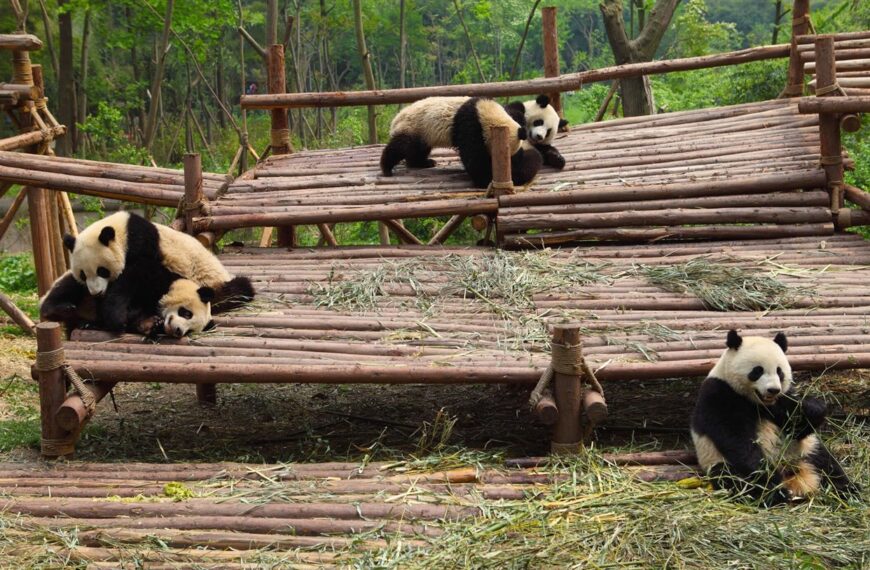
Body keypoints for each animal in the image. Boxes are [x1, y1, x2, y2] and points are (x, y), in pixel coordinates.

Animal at [57, 211, 254, 335]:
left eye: (102, 271)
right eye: (83, 275)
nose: (96, 293)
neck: (122, 231)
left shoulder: (142, 245)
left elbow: (132, 277)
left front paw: (115, 317)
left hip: (212, 283)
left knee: (240, 289)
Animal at [380, 96, 542, 188]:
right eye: (512, 153)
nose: (518, 158)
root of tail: (395, 120)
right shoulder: (470, 124)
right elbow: (475, 160)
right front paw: (484, 180)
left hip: (422, 133)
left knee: (418, 150)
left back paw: (423, 163)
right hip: (414, 126)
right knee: (401, 146)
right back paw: (387, 168)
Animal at [691, 330, 856, 505]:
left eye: (779, 371)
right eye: (757, 371)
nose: (773, 390)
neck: (758, 402)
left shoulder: (782, 402)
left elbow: (797, 426)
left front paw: (813, 408)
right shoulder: (719, 394)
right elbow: (736, 439)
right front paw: (770, 477)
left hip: (803, 450)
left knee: (825, 463)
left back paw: (847, 491)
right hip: (717, 460)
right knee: (734, 478)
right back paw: (774, 493)